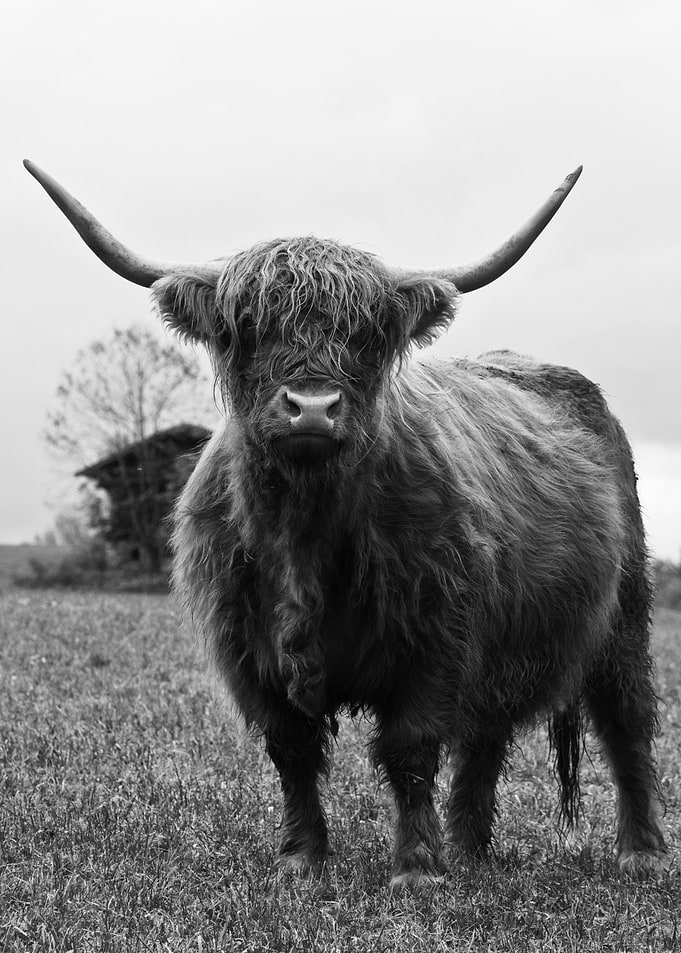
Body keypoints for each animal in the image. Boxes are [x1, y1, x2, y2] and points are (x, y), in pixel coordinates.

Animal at [26, 160, 668, 885]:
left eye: (367, 334)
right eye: (245, 326)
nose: (310, 406)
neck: (305, 535)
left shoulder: (435, 637)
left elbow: (411, 749)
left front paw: (416, 867)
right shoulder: (248, 651)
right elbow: (293, 751)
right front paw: (303, 859)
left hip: (622, 615)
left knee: (625, 720)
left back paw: (637, 851)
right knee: (487, 735)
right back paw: (469, 848)